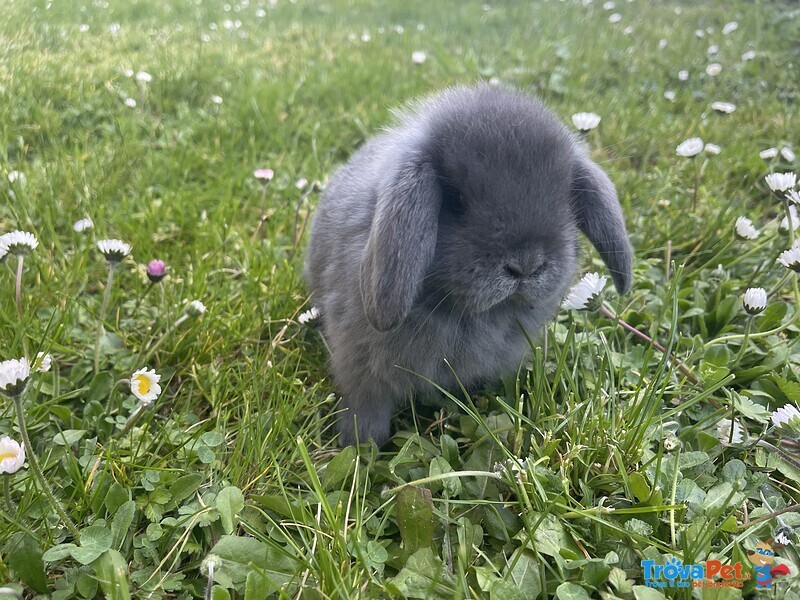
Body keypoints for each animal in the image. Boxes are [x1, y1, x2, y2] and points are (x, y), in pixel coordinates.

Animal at [304, 86, 632, 448]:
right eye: (456, 201)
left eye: (565, 200)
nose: (526, 264)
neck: (465, 314)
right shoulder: (360, 366)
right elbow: (366, 406)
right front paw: (361, 447)